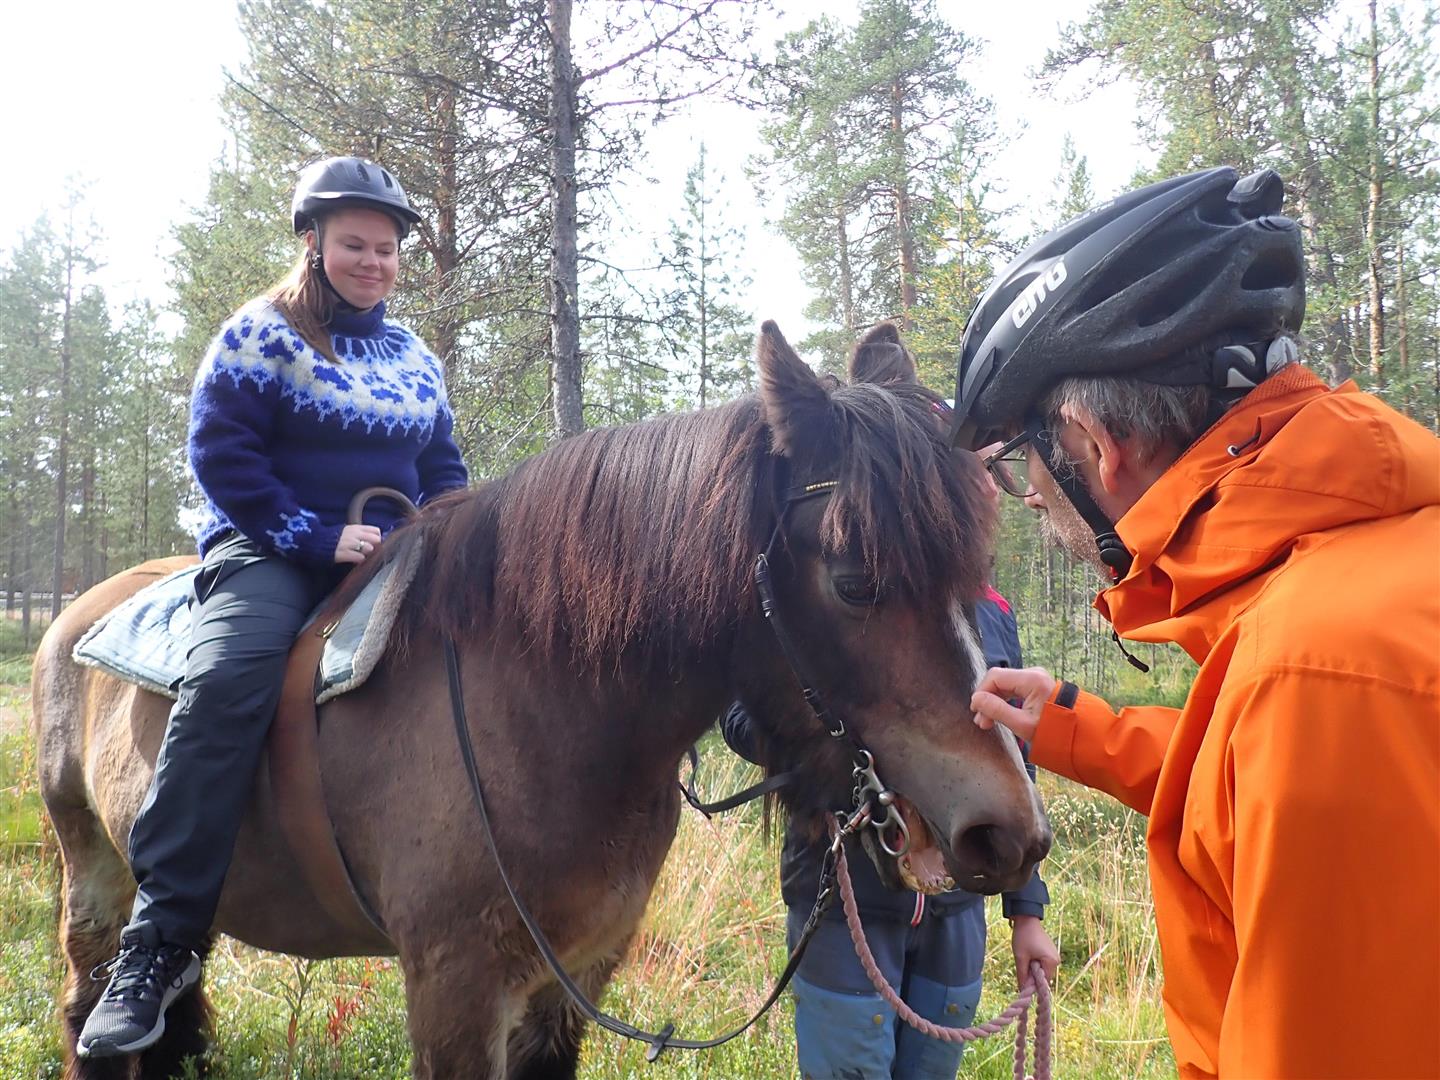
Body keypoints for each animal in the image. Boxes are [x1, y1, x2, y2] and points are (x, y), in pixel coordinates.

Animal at [32, 321, 1052, 1080]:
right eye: (854, 584)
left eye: (975, 579)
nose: (1009, 834)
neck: (542, 715)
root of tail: (75, 611)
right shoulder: (454, 991)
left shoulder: (573, 981)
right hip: (96, 878)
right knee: (94, 1007)